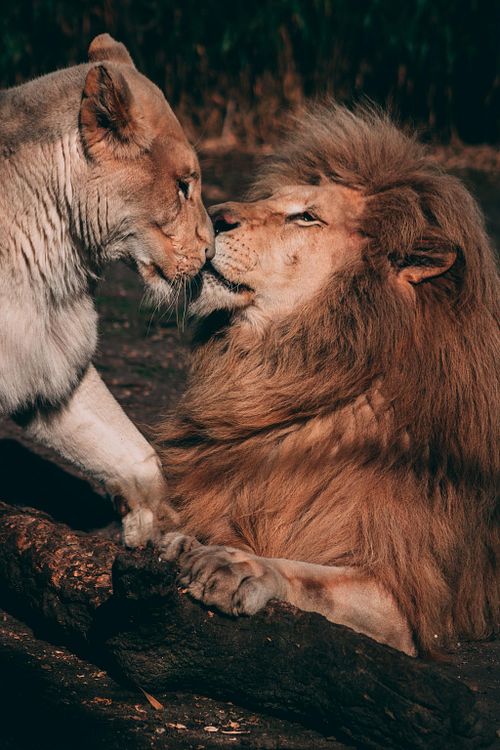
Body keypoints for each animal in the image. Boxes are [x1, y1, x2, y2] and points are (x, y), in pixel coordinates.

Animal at [156, 104, 499, 656]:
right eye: (268, 199)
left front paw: (236, 565)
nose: (213, 218)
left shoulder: (408, 603)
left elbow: (310, 576)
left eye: (306, 216)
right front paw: (184, 541)